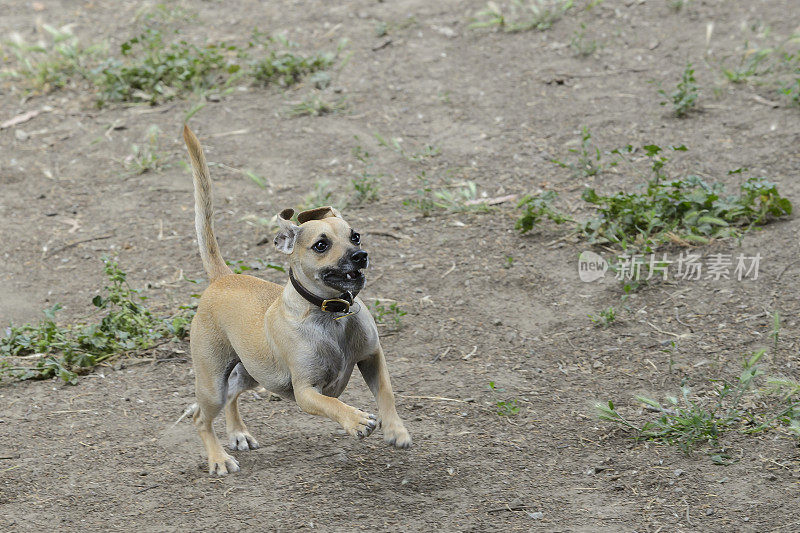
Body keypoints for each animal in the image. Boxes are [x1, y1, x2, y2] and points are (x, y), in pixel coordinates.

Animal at [182, 124, 412, 474]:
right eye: (321, 245)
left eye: (355, 236)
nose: (360, 256)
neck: (331, 315)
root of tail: (223, 277)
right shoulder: (306, 392)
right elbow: (333, 403)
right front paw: (356, 420)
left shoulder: (373, 357)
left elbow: (387, 393)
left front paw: (396, 429)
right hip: (212, 383)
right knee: (200, 417)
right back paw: (219, 459)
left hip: (253, 374)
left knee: (233, 395)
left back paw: (238, 433)